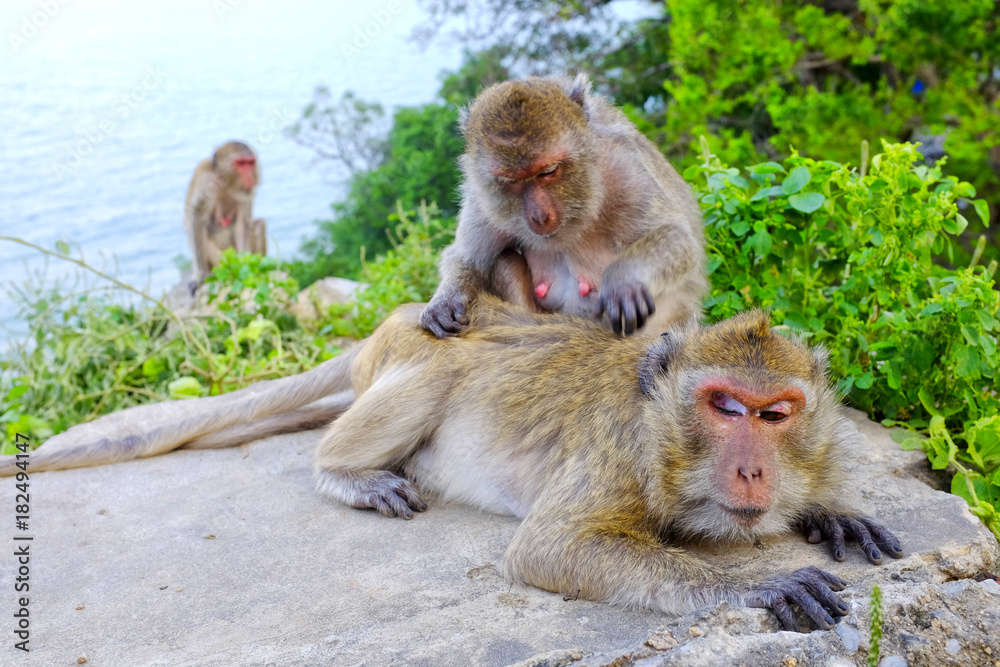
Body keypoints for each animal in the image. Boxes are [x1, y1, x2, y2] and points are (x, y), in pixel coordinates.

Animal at [184, 141, 267, 288]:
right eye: (241, 163)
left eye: (250, 163)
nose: (250, 177)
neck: (225, 182)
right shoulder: (207, 182)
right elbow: (198, 221)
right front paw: (203, 275)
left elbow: (241, 225)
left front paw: (245, 266)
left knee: (259, 225)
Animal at [313, 296, 904, 632]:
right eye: (727, 407)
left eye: (776, 413)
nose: (752, 471)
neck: (661, 429)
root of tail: (398, 316)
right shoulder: (624, 448)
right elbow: (550, 546)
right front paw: (760, 585)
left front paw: (832, 511)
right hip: (416, 355)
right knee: (438, 376)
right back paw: (344, 474)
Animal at [420, 74, 707, 338]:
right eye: (511, 181)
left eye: (548, 171)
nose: (539, 216)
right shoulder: (482, 197)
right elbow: (468, 259)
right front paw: (444, 301)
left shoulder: (623, 165)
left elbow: (676, 236)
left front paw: (624, 279)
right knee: (504, 261)